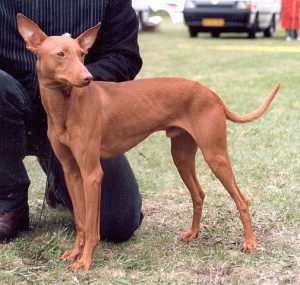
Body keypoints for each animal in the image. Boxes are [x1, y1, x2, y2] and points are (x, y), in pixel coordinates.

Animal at [16, 13, 278, 270]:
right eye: (60, 54)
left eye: (82, 55)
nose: (87, 78)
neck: (66, 107)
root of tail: (210, 93)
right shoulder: (72, 172)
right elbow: (81, 221)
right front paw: (75, 253)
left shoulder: (92, 174)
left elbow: (91, 225)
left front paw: (86, 260)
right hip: (182, 158)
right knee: (199, 194)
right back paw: (193, 233)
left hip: (215, 156)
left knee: (241, 200)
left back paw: (250, 242)